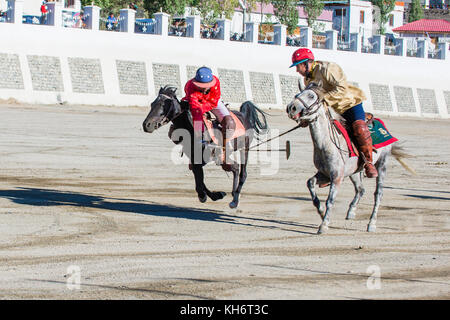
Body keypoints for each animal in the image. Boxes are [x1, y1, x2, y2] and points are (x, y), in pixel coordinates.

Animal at [288, 82, 414, 232]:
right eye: (297, 94)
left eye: (311, 96)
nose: (291, 108)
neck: (326, 144)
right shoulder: (324, 174)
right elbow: (310, 183)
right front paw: (321, 211)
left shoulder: (336, 177)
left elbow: (330, 200)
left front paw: (324, 225)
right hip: (355, 172)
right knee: (360, 189)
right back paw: (351, 212)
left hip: (382, 164)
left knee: (378, 194)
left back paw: (371, 223)